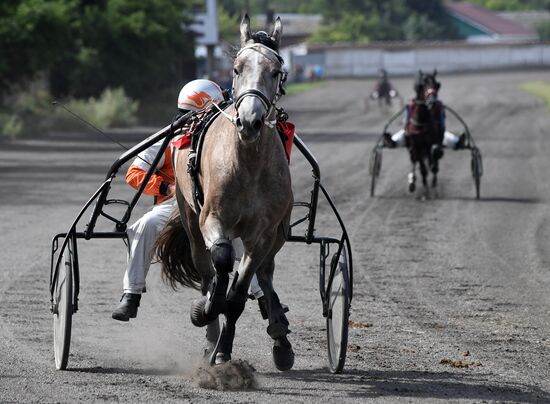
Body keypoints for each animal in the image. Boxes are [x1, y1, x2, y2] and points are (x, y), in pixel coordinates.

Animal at [155, 15, 296, 370]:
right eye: (236, 68)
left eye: (276, 71)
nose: (250, 121)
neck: (247, 162)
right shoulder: (212, 219)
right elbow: (219, 262)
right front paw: (205, 312)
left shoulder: (262, 235)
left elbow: (239, 294)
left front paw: (224, 349)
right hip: (190, 217)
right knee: (208, 267)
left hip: (277, 233)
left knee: (265, 274)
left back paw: (277, 329)